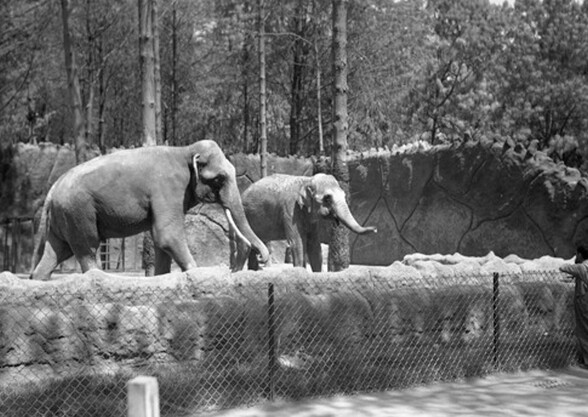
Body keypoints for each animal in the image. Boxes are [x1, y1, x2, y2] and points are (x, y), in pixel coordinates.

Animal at [31, 140, 270, 280]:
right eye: (219, 178)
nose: (263, 259)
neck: (185, 150)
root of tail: (52, 189)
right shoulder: (168, 188)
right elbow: (167, 235)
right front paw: (194, 273)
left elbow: (161, 243)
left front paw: (161, 277)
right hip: (79, 211)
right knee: (87, 248)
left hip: (64, 217)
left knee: (56, 252)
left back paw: (38, 278)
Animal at [230, 171, 376, 272]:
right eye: (327, 198)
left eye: (344, 195)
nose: (375, 229)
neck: (307, 180)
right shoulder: (290, 210)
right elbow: (297, 243)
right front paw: (300, 273)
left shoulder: (310, 219)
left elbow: (314, 245)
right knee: (245, 246)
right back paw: (237, 273)